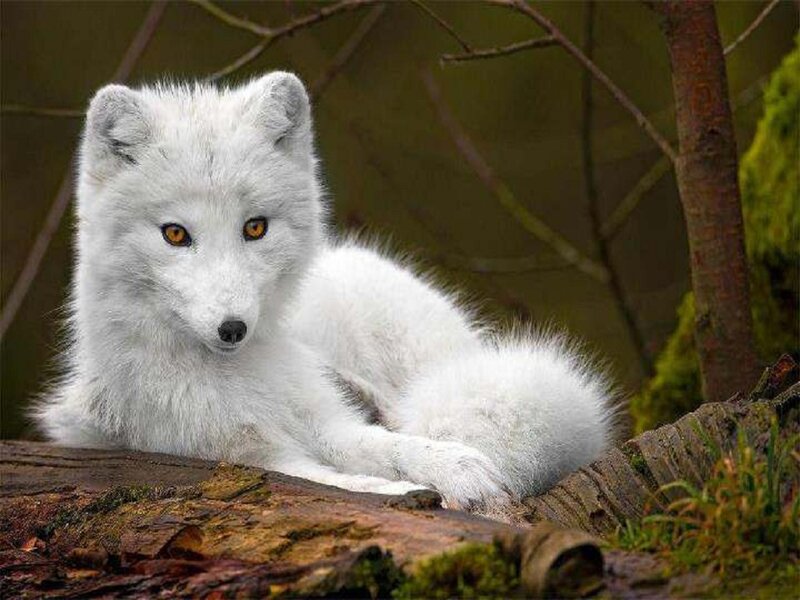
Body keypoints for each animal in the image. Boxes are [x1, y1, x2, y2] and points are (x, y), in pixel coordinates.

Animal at [35, 72, 614, 513]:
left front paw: (455, 469)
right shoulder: (245, 457)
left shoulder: (326, 422)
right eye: (175, 234)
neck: (237, 379)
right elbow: (334, 482)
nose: (232, 328)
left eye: (254, 228)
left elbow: (392, 445)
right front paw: (404, 492)